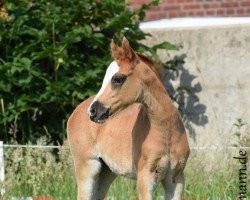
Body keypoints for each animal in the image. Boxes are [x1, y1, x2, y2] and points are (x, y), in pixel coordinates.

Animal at [67, 38, 188, 200]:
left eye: (118, 79)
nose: (93, 111)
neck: (166, 132)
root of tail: (77, 110)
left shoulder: (176, 178)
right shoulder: (145, 178)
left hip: (106, 172)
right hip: (88, 167)